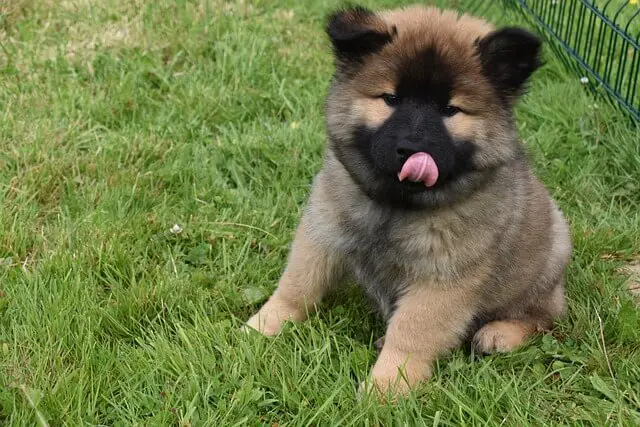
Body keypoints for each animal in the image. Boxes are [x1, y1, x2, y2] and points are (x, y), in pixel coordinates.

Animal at [244, 3, 568, 400]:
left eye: (450, 110)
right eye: (391, 99)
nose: (412, 149)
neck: (396, 204)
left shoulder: (443, 279)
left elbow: (411, 334)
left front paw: (384, 389)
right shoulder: (322, 232)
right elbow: (296, 287)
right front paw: (258, 328)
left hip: (550, 256)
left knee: (543, 317)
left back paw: (500, 334)